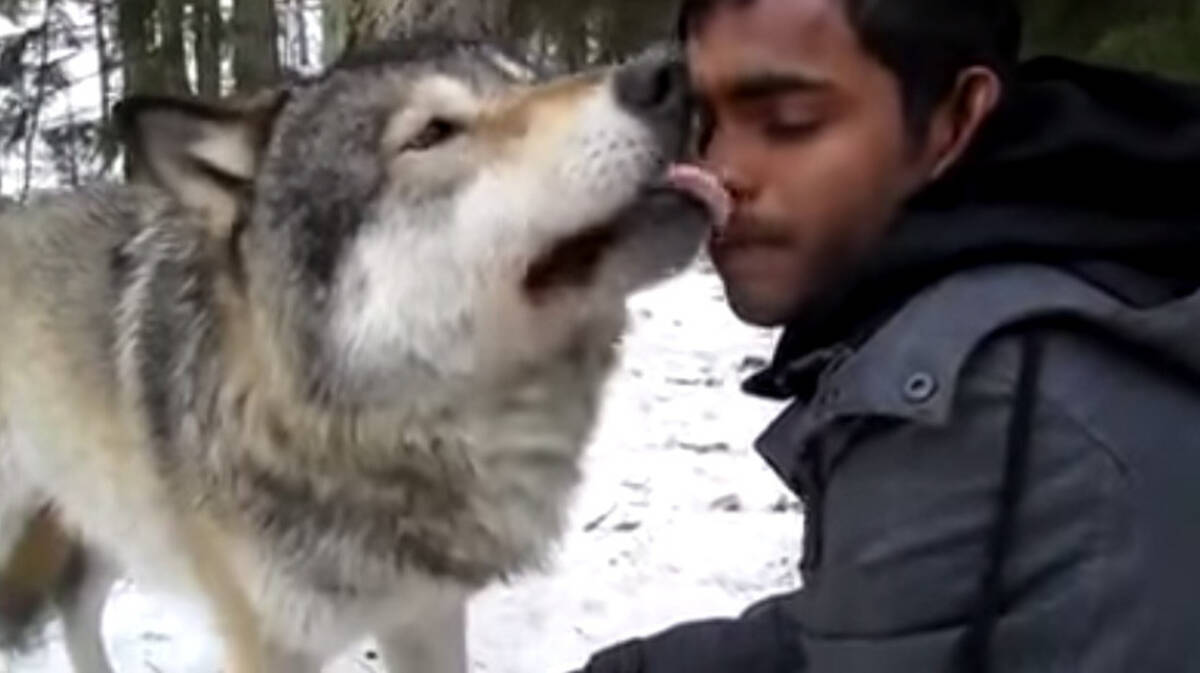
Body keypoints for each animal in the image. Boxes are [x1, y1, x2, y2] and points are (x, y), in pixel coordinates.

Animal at [0, 38, 724, 671]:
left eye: (528, 79)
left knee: (73, 602)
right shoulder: (265, 644)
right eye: (432, 133)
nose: (668, 72)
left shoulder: (426, 615)